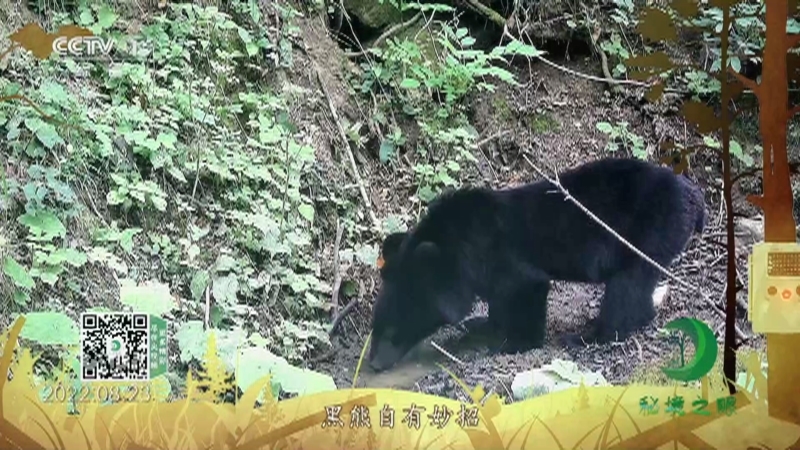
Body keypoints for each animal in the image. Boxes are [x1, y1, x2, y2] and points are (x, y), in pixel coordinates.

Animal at [367, 157, 706, 372]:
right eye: (376, 326)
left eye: (393, 328)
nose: (373, 363)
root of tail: (695, 196)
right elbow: (498, 300)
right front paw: (482, 325)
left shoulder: (497, 254)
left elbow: (526, 286)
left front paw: (512, 343)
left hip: (650, 231)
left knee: (627, 286)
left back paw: (589, 336)